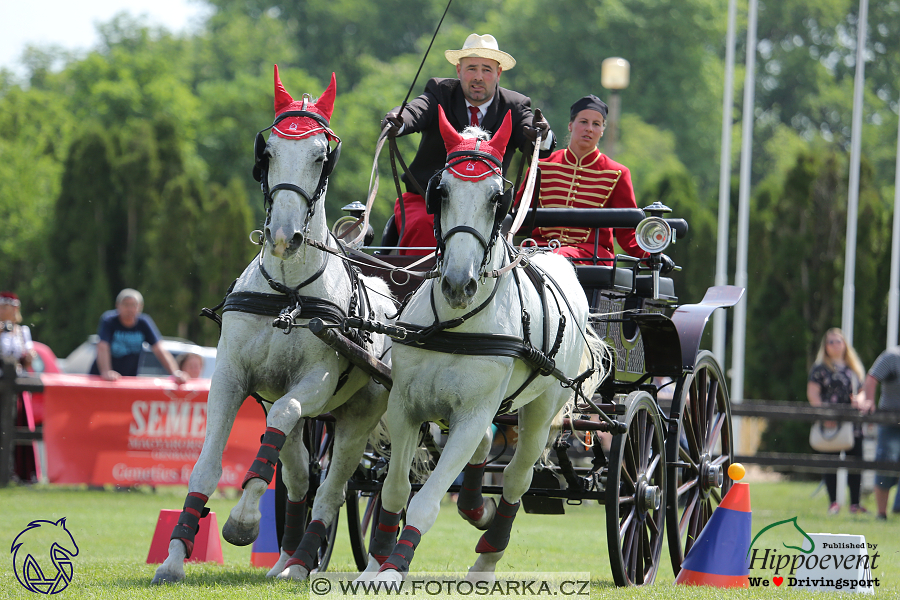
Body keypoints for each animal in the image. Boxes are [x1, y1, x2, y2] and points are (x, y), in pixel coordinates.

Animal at [152, 68, 394, 584]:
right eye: (270, 153)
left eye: (321, 155)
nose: (284, 237)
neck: (287, 293)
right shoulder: (231, 378)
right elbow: (206, 465)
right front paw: (174, 556)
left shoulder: (314, 383)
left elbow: (282, 419)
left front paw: (242, 522)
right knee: (302, 474)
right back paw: (283, 559)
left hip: (359, 414)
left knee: (332, 488)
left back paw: (302, 563)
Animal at [358, 105, 612, 584]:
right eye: (440, 191)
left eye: (498, 198)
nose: (459, 285)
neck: (457, 325)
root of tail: (554, 254)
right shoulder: (404, 407)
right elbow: (395, 489)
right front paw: (377, 560)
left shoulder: (472, 415)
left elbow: (426, 499)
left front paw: (394, 568)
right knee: (482, 460)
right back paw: (478, 508)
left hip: (541, 408)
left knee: (517, 476)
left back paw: (488, 554)